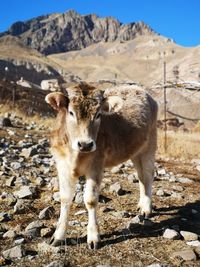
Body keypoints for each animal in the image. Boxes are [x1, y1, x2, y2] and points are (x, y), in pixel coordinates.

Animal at [45, 83, 158, 249]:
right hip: (135, 151)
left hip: (149, 145)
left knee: (148, 175)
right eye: (71, 112)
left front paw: (93, 237)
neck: (76, 154)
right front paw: (58, 235)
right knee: (141, 176)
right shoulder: (62, 166)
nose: (85, 144)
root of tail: (139, 89)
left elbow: (91, 200)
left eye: (98, 115)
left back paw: (146, 208)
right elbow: (65, 198)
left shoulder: (96, 166)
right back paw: (141, 204)